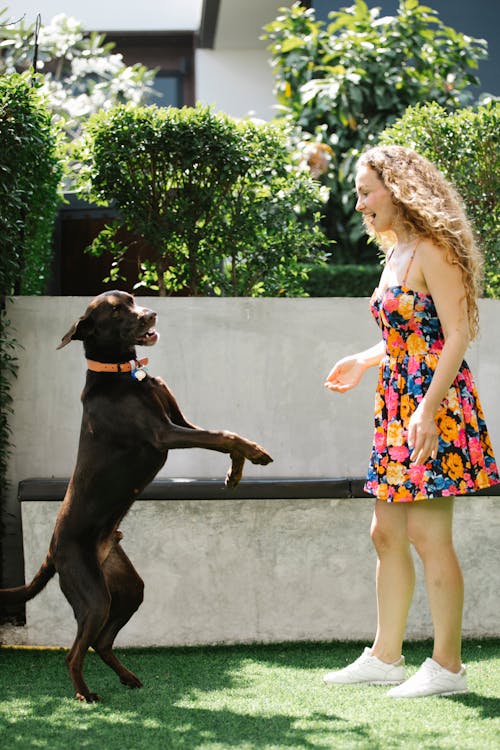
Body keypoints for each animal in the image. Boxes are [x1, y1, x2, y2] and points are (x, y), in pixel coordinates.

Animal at [0, 290, 274, 704]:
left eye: (132, 299)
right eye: (116, 311)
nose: (151, 313)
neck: (123, 373)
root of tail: (51, 550)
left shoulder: (180, 420)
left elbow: (222, 438)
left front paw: (236, 472)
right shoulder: (165, 434)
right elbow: (224, 435)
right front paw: (256, 452)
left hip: (128, 589)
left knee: (101, 642)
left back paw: (128, 678)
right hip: (92, 593)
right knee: (74, 652)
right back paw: (85, 695)